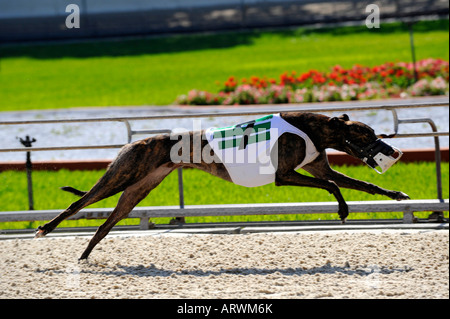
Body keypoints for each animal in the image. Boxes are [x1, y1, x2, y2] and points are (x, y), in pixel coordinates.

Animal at [34, 112, 408, 260]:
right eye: (366, 135)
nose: (391, 149)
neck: (313, 128)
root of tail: (132, 143)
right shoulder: (285, 175)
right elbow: (332, 186)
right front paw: (343, 209)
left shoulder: (316, 166)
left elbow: (361, 184)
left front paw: (395, 194)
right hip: (119, 178)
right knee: (77, 204)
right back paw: (44, 229)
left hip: (136, 190)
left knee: (104, 224)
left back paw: (84, 255)